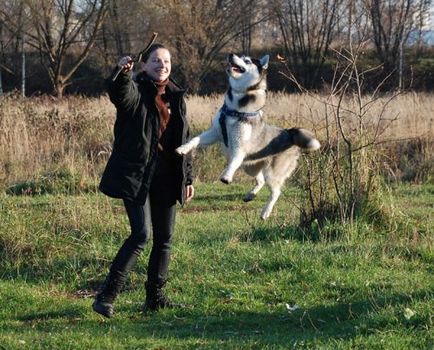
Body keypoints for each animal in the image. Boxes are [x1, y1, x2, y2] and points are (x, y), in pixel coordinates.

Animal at [175, 53, 320, 219]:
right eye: (240, 55)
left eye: (247, 60)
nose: (231, 54)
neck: (235, 109)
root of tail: (289, 134)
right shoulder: (215, 133)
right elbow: (195, 139)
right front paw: (183, 148)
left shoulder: (240, 146)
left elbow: (234, 160)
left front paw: (227, 175)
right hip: (250, 167)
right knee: (260, 180)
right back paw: (251, 195)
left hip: (272, 172)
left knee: (276, 191)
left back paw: (265, 212)